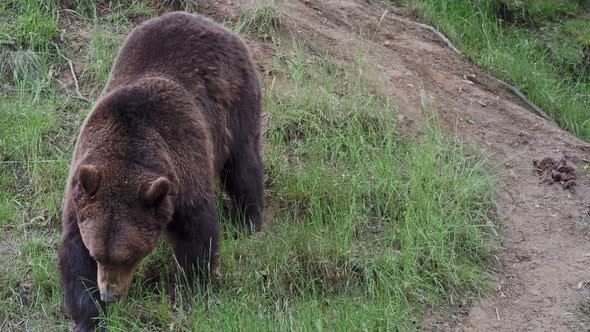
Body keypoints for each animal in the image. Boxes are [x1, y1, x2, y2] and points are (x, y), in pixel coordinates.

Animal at [58, 11, 266, 330]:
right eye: (98, 254)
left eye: (128, 256)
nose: (109, 294)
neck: (130, 149)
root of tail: (207, 21)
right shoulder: (81, 190)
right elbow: (74, 255)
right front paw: (89, 315)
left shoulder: (184, 170)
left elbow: (196, 236)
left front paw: (192, 288)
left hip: (236, 100)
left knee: (243, 164)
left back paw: (249, 218)